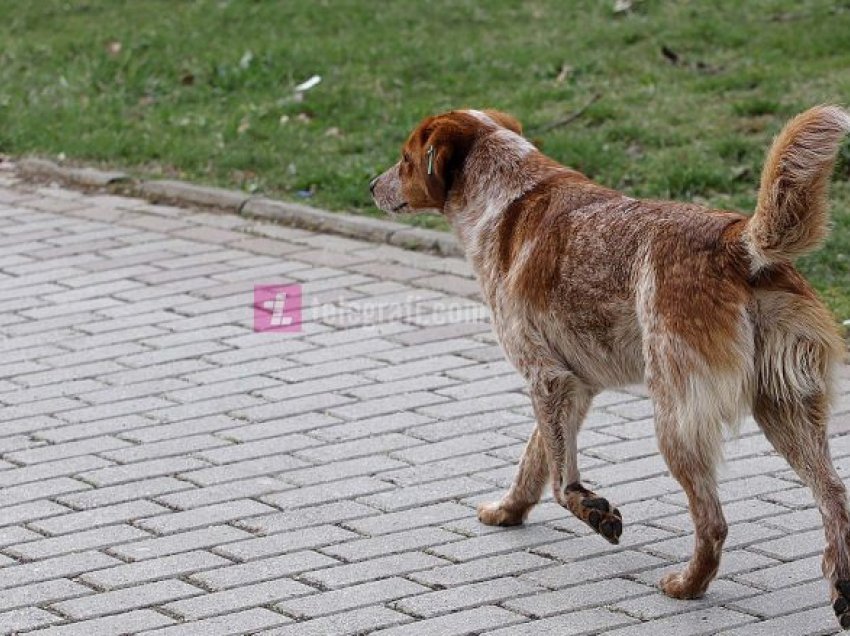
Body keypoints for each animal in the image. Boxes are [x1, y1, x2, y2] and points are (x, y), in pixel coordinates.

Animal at [370, 104, 848, 628]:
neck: (506, 192)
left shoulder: (546, 378)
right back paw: (841, 589)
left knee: (714, 522)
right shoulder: (571, 387)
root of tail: (736, 242)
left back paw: (687, 586)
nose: (370, 185)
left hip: (675, 418)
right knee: (834, 496)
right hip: (787, 408)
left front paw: (593, 510)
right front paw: (509, 510)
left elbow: (561, 482)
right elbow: (535, 461)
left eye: (404, 159)